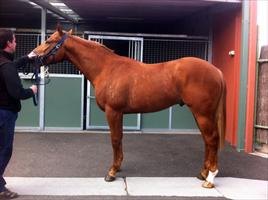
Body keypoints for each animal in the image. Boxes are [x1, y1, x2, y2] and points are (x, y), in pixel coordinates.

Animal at [33, 27, 226, 189]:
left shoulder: (113, 111)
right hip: (200, 114)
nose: (32, 56)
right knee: (207, 140)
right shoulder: (119, 113)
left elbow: (115, 139)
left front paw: (112, 172)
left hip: (202, 113)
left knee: (212, 139)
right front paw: (117, 167)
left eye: (49, 41)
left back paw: (210, 178)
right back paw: (203, 173)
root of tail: (216, 71)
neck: (107, 68)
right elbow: (119, 139)